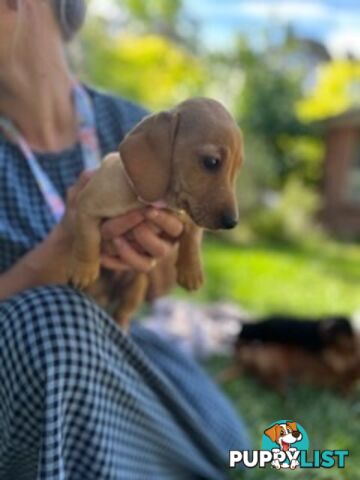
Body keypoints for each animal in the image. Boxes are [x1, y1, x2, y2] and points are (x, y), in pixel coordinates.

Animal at [67, 99, 243, 328]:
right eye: (211, 162)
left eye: (237, 169)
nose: (232, 222)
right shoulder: (86, 206)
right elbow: (87, 240)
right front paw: (84, 270)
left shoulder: (189, 216)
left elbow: (192, 240)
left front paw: (191, 271)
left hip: (136, 287)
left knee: (123, 314)